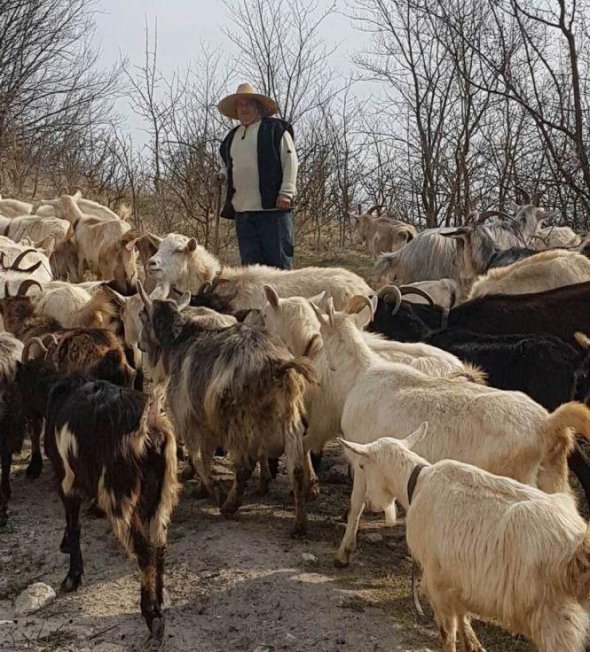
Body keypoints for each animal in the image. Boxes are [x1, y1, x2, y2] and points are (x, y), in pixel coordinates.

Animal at [15, 360, 178, 644]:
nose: (25, 419)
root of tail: (149, 427)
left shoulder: (66, 481)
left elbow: (74, 525)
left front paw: (72, 576)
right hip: (161, 496)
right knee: (159, 545)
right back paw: (159, 603)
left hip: (119, 494)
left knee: (144, 549)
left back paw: (152, 617)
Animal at [308, 296, 590, 564]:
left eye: (320, 330)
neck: (360, 372)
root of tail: (547, 424)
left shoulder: (361, 457)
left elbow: (356, 503)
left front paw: (344, 553)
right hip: (553, 474)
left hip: (521, 477)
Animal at [342, 432, 590, 652]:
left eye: (362, 466)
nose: (370, 503)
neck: (418, 482)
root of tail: (576, 542)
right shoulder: (455, 577)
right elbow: (462, 615)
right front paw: (473, 645)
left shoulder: (436, 578)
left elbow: (447, 632)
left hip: (554, 618)